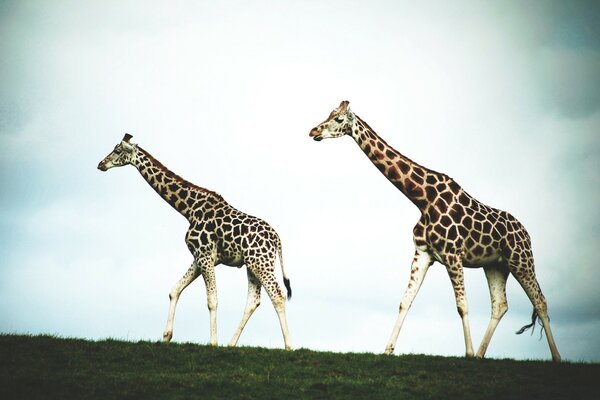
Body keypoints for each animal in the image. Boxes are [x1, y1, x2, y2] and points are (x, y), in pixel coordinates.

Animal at [96, 134, 292, 350]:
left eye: (117, 150)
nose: (101, 164)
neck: (188, 209)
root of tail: (277, 239)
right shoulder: (200, 257)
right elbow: (175, 289)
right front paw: (166, 336)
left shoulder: (205, 255)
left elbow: (212, 300)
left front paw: (212, 343)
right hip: (252, 264)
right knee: (253, 301)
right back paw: (231, 344)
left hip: (260, 263)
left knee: (278, 295)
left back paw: (288, 346)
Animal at [310, 101, 564, 362]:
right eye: (330, 114)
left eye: (339, 119)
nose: (313, 131)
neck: (423, 199)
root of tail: (526, 233)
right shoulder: (423, 253)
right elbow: (405, 300)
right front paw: (388, 349)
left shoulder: (453, 254)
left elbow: (462, 304)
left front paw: (467, 352)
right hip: (496, 265)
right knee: (500, 304)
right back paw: (482, 354)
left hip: (520, 259)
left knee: (540, 301)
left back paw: (555, 357)